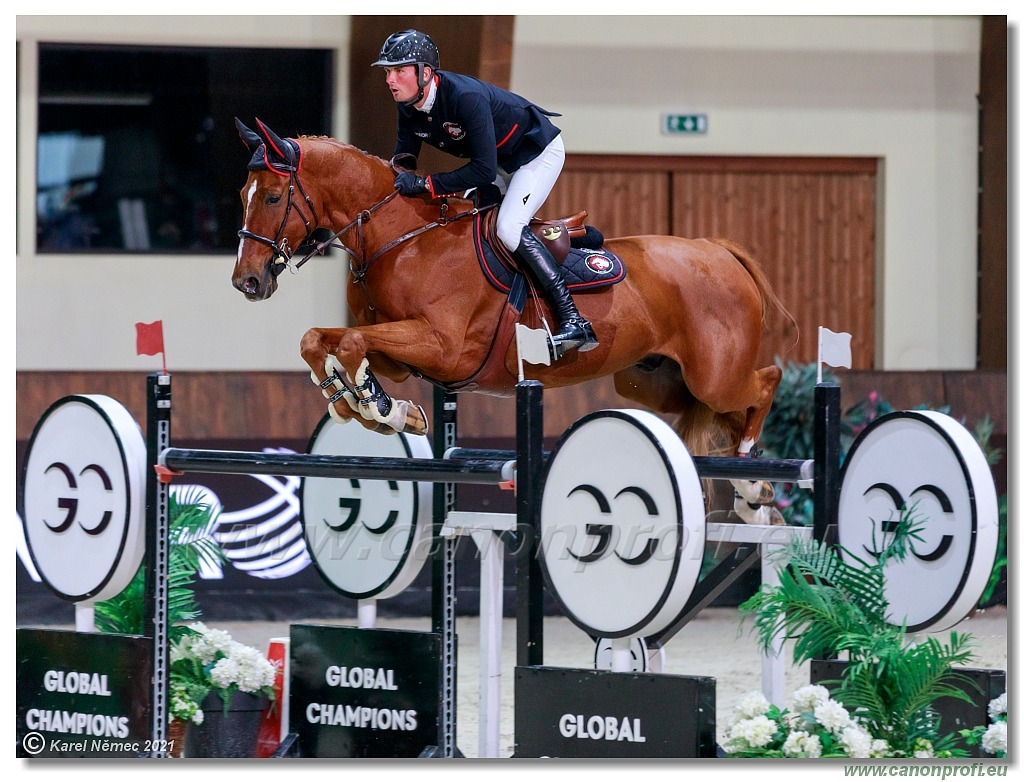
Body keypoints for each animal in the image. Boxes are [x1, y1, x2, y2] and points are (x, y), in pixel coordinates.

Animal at [234, 119, 798, 522]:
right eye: (243, 196)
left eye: (273, 197)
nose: (247, 282)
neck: (400, 238)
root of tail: (716, 249)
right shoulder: (403, 355)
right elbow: (322, 340)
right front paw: (372, 405)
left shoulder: (442, 346)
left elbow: (350, 344)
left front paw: (377, 407)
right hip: (656, 382)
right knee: (725, 413)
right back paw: (752, 487)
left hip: (714, 374)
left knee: (765, 380)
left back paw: (753, 469)